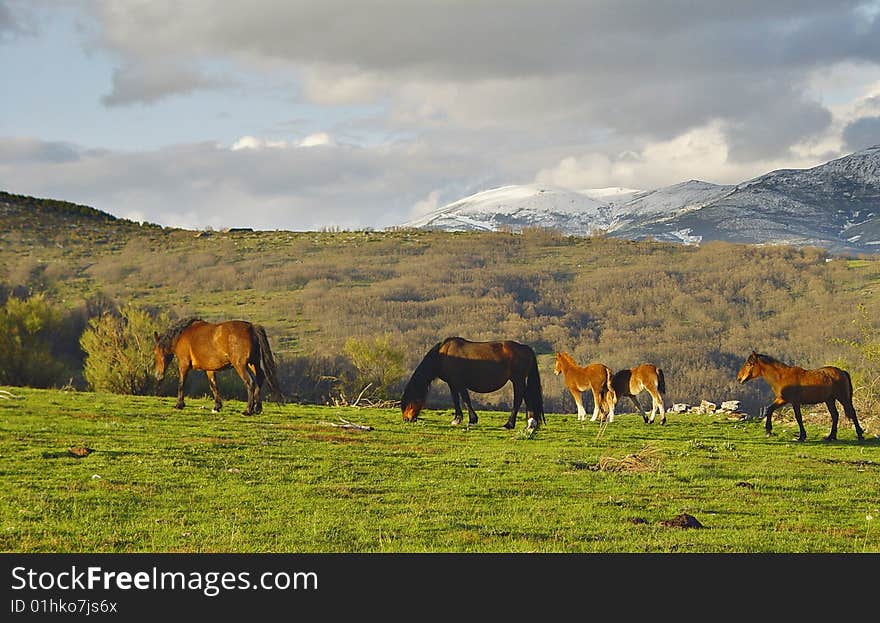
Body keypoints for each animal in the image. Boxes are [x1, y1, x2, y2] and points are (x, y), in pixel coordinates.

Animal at [153, 320, 284, 416]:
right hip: (253, 364)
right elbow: (213, 386)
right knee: (259, 379)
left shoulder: (183, 364)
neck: (182, 335)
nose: (158, 375)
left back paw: (248, 410)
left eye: (155, 351)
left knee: (250, 382)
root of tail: (252, 328)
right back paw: (257, 408)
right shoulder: (209, 369)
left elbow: (181, 383)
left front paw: (179, 404)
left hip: (240, 365)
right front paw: (217, 406)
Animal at [404, 338, 544, 432]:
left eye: (410, 402)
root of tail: (526, 348)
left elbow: (466, 399)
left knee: (518, 399)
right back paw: (530, 424)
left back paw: (509, 424)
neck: (442, 356)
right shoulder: (452, 384)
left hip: (517, 380)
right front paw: (457, 419)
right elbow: (456, 399)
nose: (406, 419)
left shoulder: (459, 383)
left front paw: (471, 420)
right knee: (527, 398)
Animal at [736, 352, 868, 444]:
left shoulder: (794, 402)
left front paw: (801, 436)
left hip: (843, 398)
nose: (739, 378)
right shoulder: (782, 400)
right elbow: (770, 409)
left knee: (851, 412)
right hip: (829, 400)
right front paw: (768, 431)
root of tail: (842, 371)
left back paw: (859, 435)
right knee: (835, 415)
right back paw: (831, 436)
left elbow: (798, 418)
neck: (781, 377)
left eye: (749, 364)